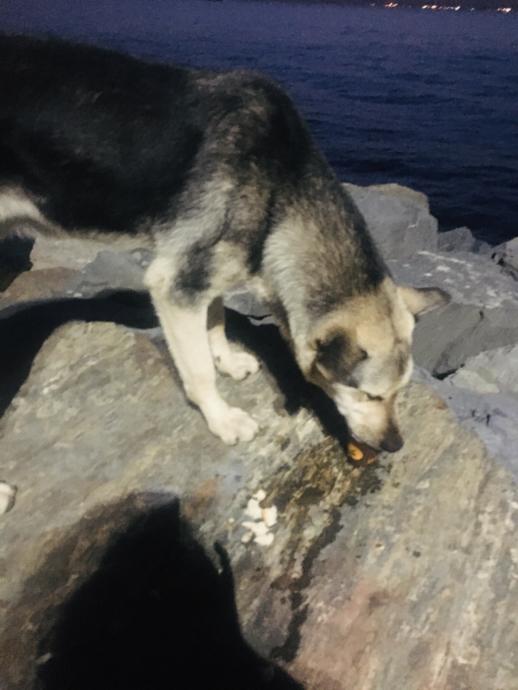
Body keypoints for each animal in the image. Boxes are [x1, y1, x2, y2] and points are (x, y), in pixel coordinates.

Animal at [0, 35, 448, 448]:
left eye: (399, 392)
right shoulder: (176, 286)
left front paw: (227, 360)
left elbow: (214, 320)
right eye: (369, 394)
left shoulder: (211, 269)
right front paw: (221, 417)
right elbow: (198, 369)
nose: (394, 445)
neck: (280, 189)